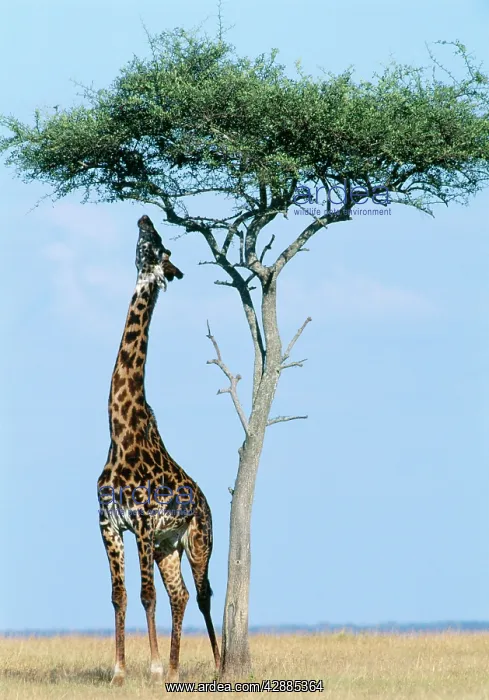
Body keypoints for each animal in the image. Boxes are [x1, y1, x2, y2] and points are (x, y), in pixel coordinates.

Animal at [97, 215, 220, 686]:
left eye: (160, 245)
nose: (145, 217)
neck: (121, 432)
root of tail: (206, 501)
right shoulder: (109, 525)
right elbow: (119, 594)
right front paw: (119, 671)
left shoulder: (144, 523)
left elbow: (145, 594)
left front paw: (146, 667)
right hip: (171, 546)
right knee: (180, 595)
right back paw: (173, 667)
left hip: (197, 540)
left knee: (202, 594)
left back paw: (218, 665)